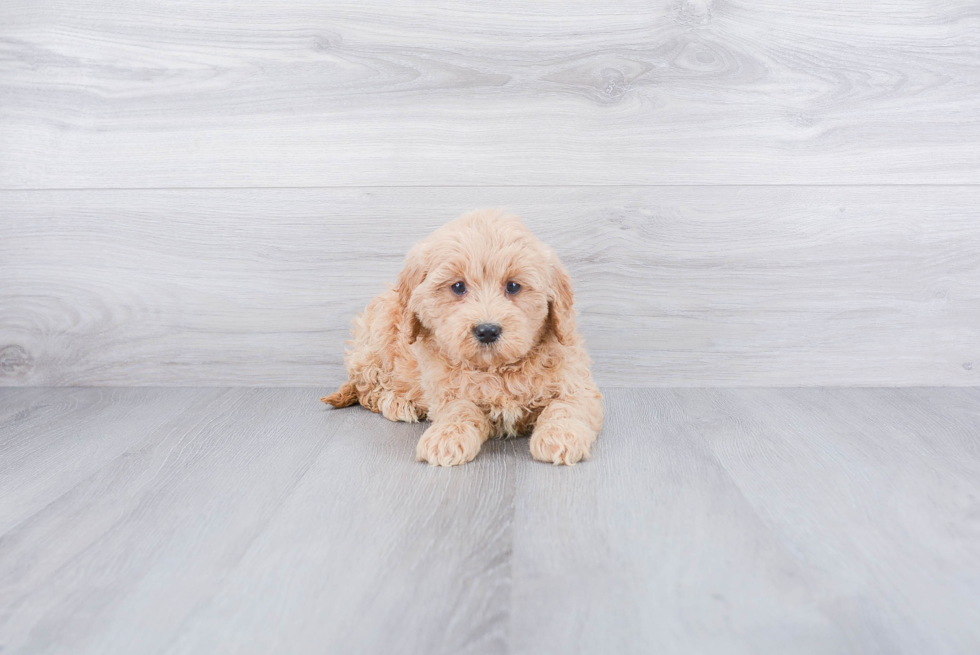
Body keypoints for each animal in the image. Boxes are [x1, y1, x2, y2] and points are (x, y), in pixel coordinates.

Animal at [322, 210, 600, 466]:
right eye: (458, 287)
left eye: (513, 286)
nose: (487, 330)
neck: (495, 369)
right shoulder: (446, 391)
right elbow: (459, 410)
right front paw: (446, 437)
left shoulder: (577, 383)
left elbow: (567, 406)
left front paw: (560, 436)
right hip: (375, 337)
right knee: (367, 388)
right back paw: (400, 403)